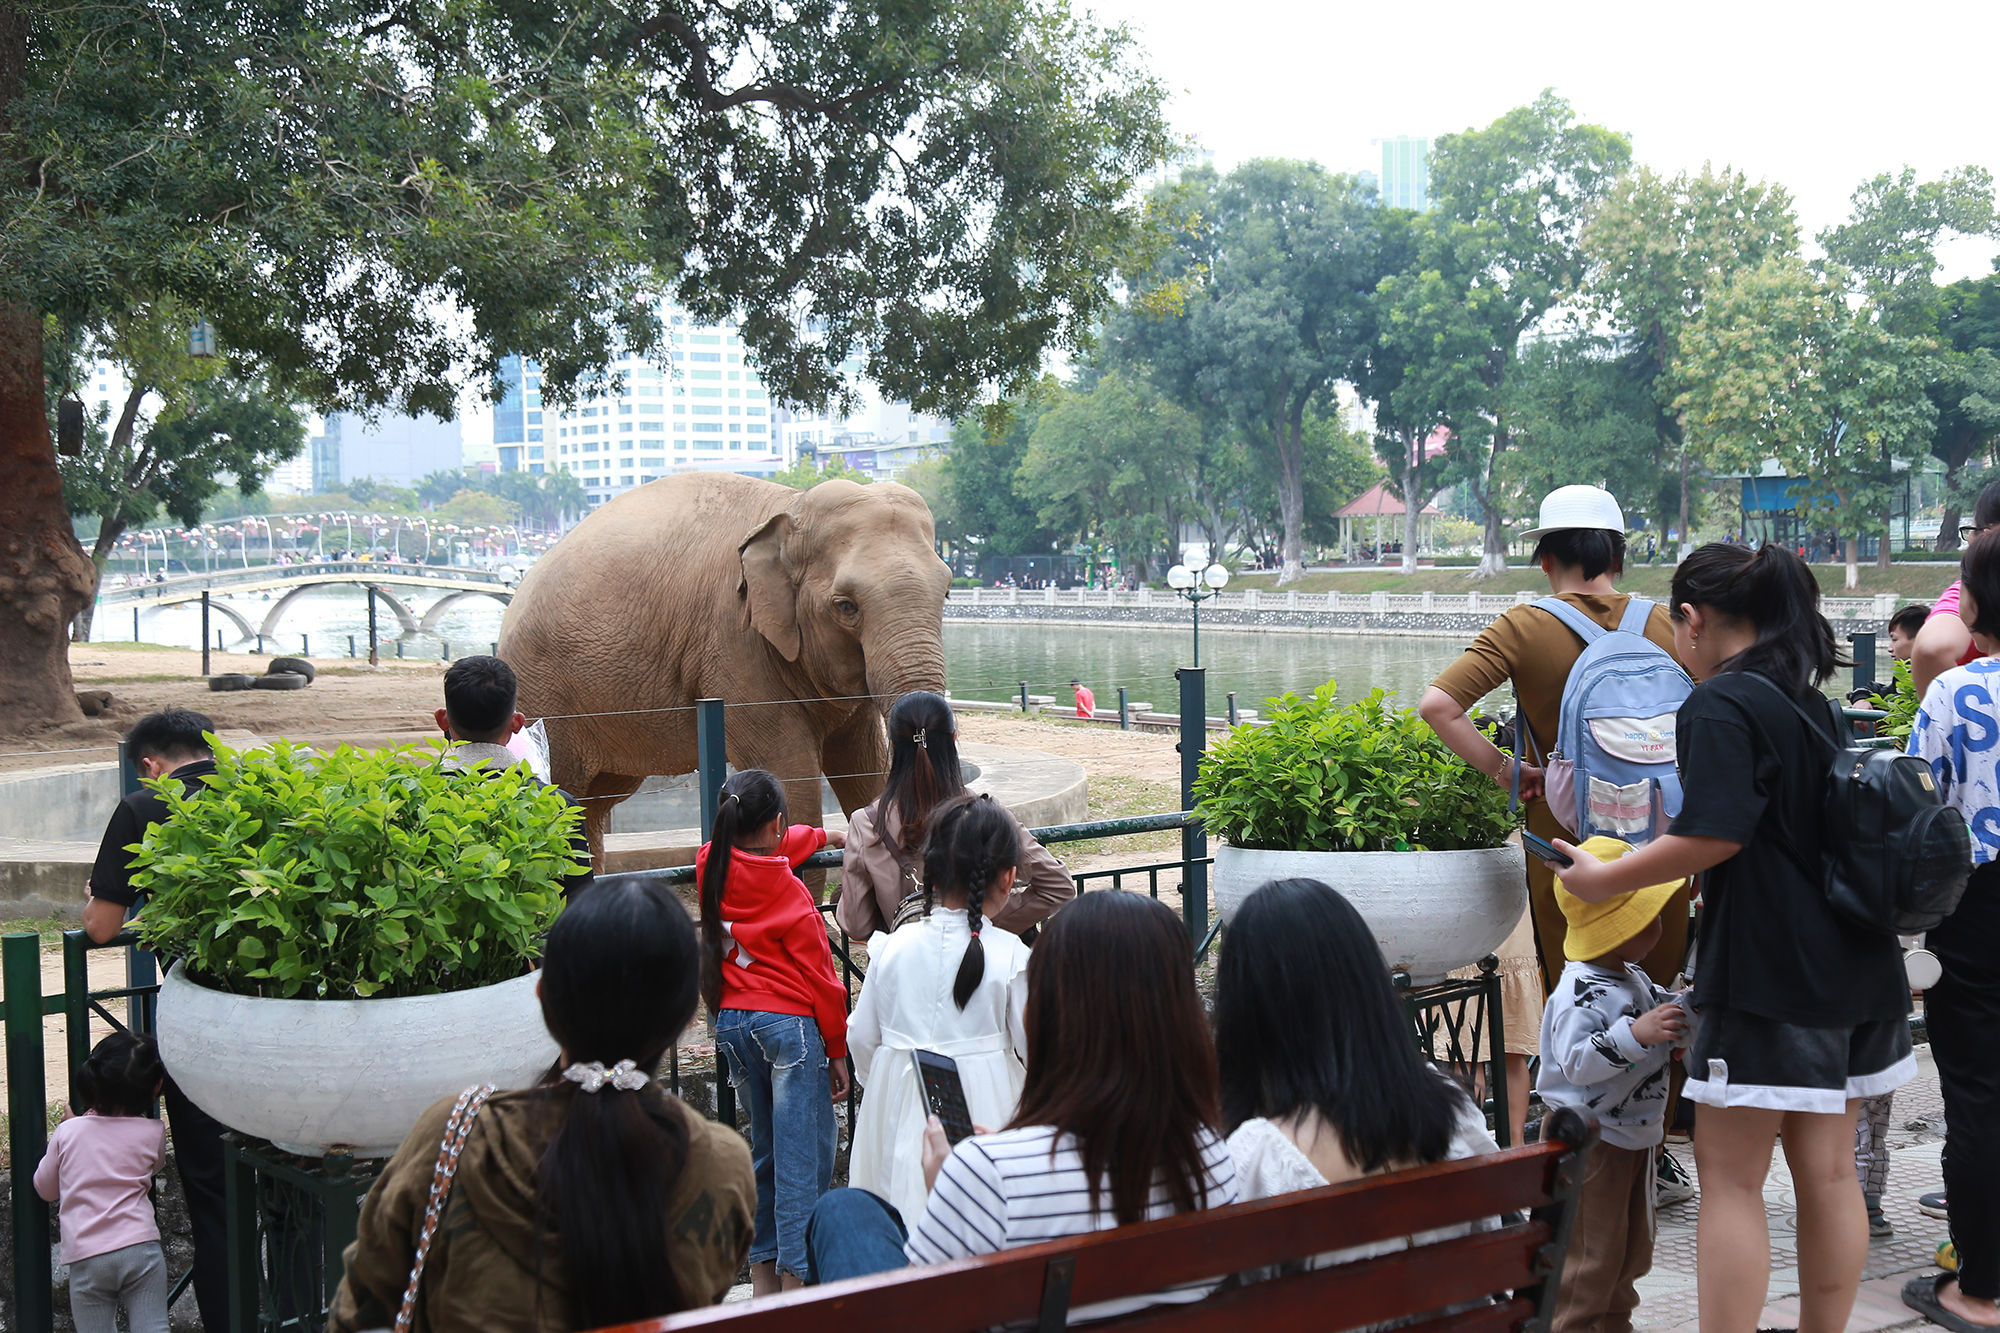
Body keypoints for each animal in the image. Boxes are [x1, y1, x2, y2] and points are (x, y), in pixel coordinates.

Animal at [492, 472, 944, 856]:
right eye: (846, 605)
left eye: (945, 590)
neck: (791, 505)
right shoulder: (731, 642)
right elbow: (789, 773)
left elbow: (865, 767)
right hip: (544, 690)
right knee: (564, 798)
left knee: (596, 803)